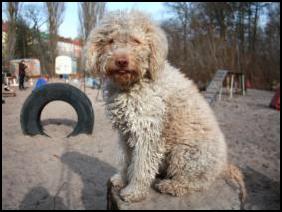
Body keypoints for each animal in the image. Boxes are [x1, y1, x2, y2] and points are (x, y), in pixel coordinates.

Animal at [82, 10, 246, 204]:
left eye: (136, 41)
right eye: (110, 41)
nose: (121, 61)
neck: (134, 84)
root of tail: (223, 166)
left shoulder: (148, 132)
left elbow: (141, 166)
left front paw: (134, 192)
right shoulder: (125, 132)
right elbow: (125, 159)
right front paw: (121, 179)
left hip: (185, 154)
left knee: (197, 182)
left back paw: (171, 185)